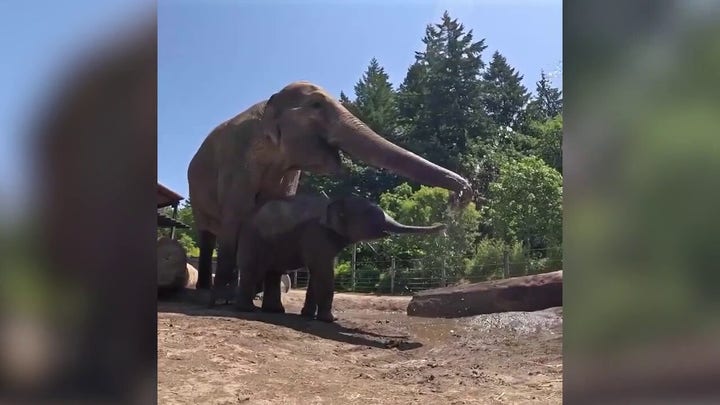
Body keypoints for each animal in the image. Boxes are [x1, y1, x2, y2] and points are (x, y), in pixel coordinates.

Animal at [187, 81, 472, 302]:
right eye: (316, 105)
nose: (463, 194)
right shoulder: (236, 161)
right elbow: (235, 216)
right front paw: (224, 299)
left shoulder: (289, 171)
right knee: (207, 236)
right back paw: (207, 292)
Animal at [230, 194, 447, 322]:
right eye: (372, 215)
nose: (443, 225)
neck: (337, 200)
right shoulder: (317, 234)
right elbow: (323, 272)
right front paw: (331, 320)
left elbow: (318, 273)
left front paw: (308, 316)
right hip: (252, 238)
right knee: (251, 269)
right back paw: (248, 310)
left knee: (274, 273)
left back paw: (275, 311)